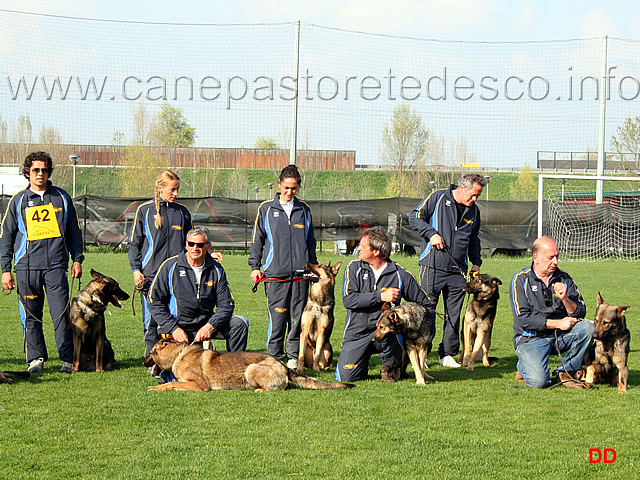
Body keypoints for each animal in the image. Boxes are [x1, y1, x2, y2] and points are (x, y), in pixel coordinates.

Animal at [144, 336, 356, 392]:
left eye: (152, 353)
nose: (145, 362)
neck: (178, 355)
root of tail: (282, 365)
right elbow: (172, 382)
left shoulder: (199, 385)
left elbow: (172, 383)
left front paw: (158, 387)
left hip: (251, 369)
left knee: (281, 388)